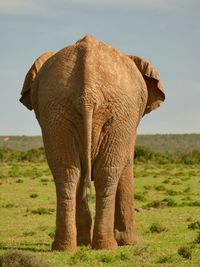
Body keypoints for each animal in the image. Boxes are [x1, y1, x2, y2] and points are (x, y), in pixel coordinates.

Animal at [19, 35, 165, 251]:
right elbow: (126, 165)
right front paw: (128, 243)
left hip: (56, 109)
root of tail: (88, 93)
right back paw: (107, 246)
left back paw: (64, 247)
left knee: (67, 172)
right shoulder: (130, 124)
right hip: (118, 113)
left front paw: (84, 242)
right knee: (107, 172)